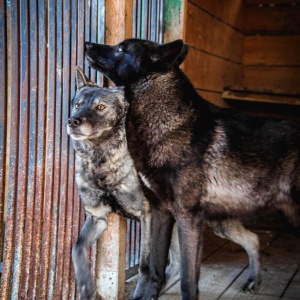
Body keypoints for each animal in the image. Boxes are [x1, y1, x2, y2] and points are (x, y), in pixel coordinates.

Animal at [85, 40, 300, 300]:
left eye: (121, 49)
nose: (87, 44)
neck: (166, 122)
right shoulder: (160, 212)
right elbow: (154, 269)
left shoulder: (188, 217)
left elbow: (187, 280)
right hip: (226, 223)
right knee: (254, 239)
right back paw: (253, 281)